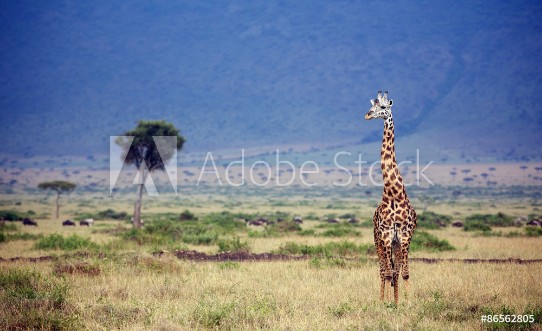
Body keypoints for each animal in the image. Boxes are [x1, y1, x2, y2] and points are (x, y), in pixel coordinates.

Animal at [366, 91, 420, 306]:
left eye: (383, 107)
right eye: (372, 106)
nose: (367, 115)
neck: (394, 192)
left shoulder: (404, 235)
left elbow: (404, 273)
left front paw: (405, 302)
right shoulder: (387, 234)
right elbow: (388, 273)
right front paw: (386, 303)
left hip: (396, 243)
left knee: (394, 270)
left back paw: (395, 300)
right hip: (378, 240)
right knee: (383, 270)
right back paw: (383, 299)